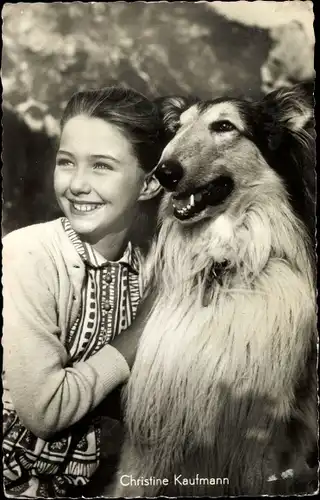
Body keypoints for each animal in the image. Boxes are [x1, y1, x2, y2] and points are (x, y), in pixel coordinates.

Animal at [106, 85, 316, 496]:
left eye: (224, 126)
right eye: (178, 128)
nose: (164, 173)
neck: (219, 271)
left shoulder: (263, 439)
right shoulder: (150, 436)